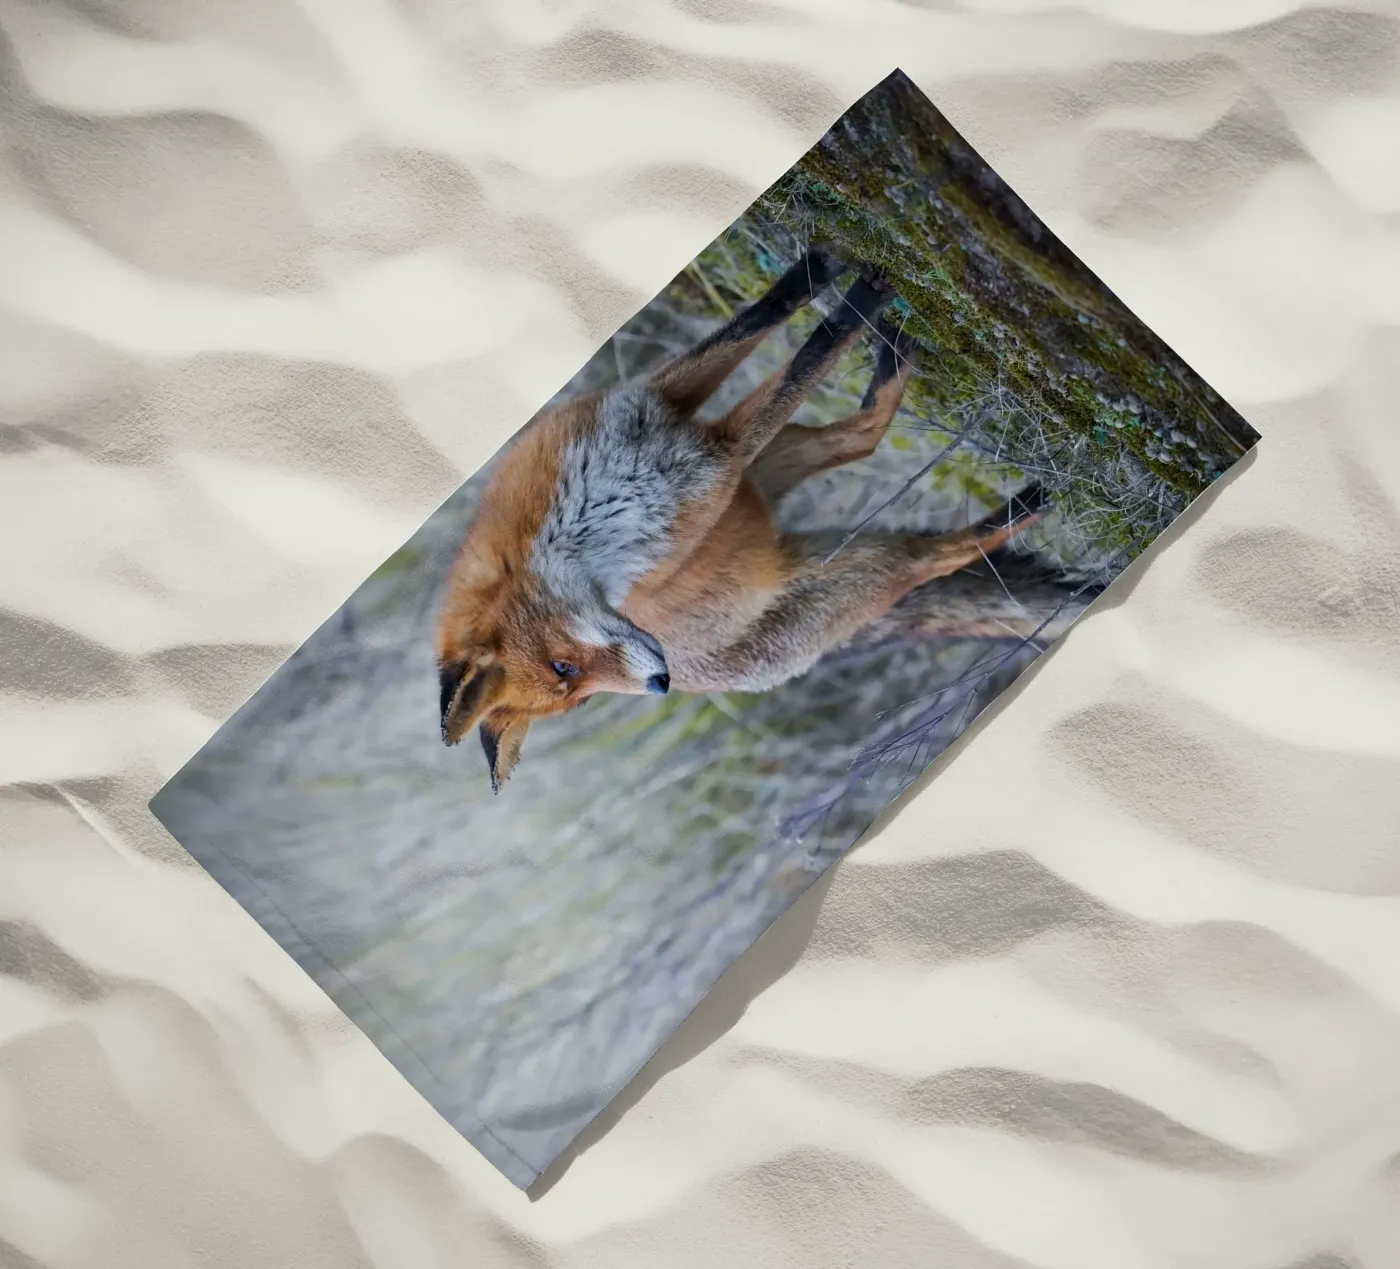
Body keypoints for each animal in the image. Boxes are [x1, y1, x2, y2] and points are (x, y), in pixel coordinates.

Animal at [435, 245, 1048, 792]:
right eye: (572, 682)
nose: (660, 682)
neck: (593, 512)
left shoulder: (661, 407)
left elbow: (756, 325)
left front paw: (819, 272)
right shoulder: (718, 462)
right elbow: (805, 363)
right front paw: (852, 305)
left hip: (768, 476)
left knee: (862, 436)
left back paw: (895, 356)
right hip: (836, 553)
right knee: (929, 555)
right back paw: (1022, 510)